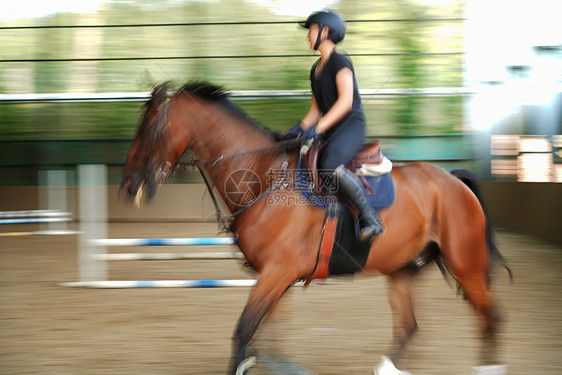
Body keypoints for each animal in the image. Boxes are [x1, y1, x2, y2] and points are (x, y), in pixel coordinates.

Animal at [120, 82, 510, 375]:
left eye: (150, 128)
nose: (128, 186)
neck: (263, 177)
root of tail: (454, 180)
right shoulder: (273, 277)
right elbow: (262, 338)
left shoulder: (277, 273)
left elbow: (244, 332)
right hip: (402, 269)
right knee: (411, 326)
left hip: (467, 265)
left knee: (491, 318)